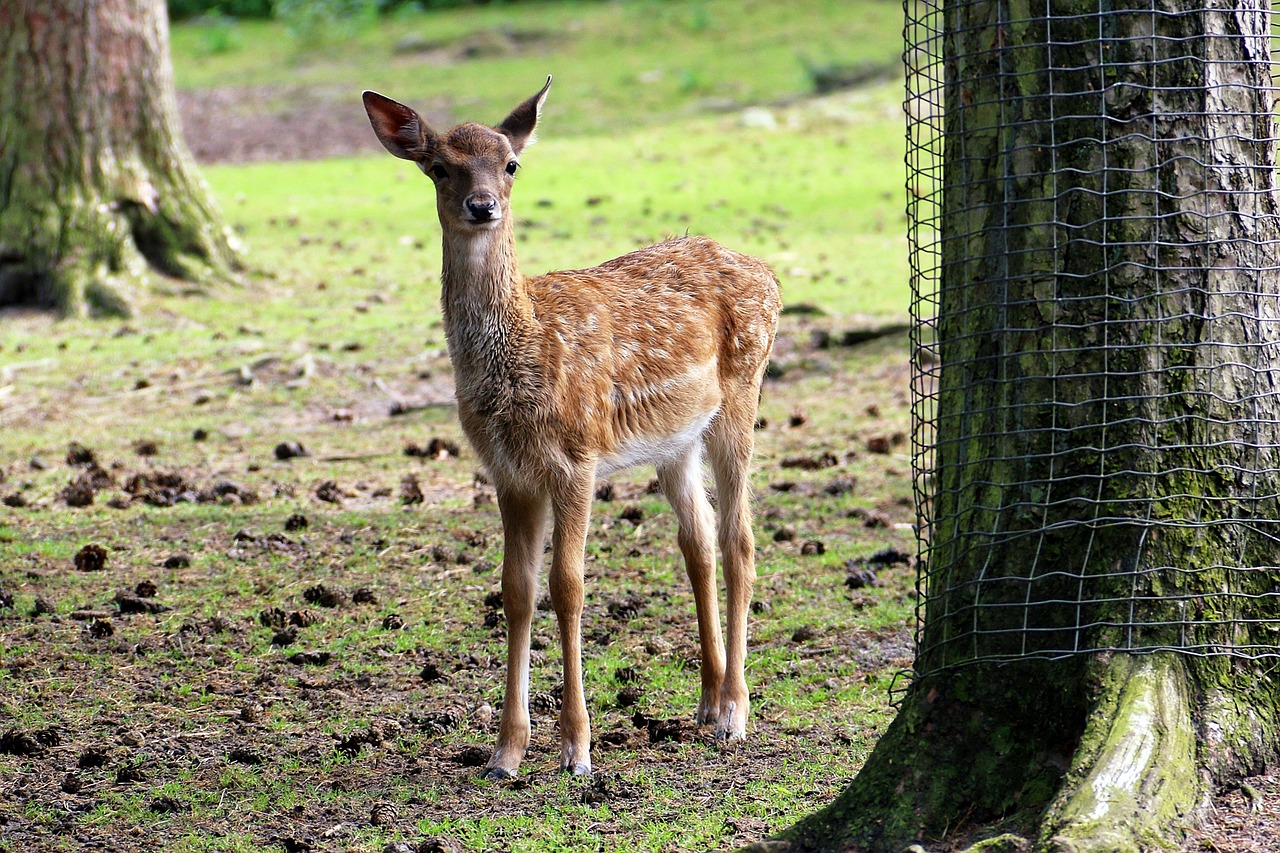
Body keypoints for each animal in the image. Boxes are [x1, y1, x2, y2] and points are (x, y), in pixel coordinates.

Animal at [360, 79, 778, 778]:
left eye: (510, 164)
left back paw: (735, 714)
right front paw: (505, 752)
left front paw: (577, 748)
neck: (524, 352)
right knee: (697, 542)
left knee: (740, 539)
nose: (481, 206)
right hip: (676, 439)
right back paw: (706, 700)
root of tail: (769, 275)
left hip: (743, 393)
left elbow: (569, 586)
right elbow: (515, 590)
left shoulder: (576, 457)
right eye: (439, 167)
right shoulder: (507, 472)